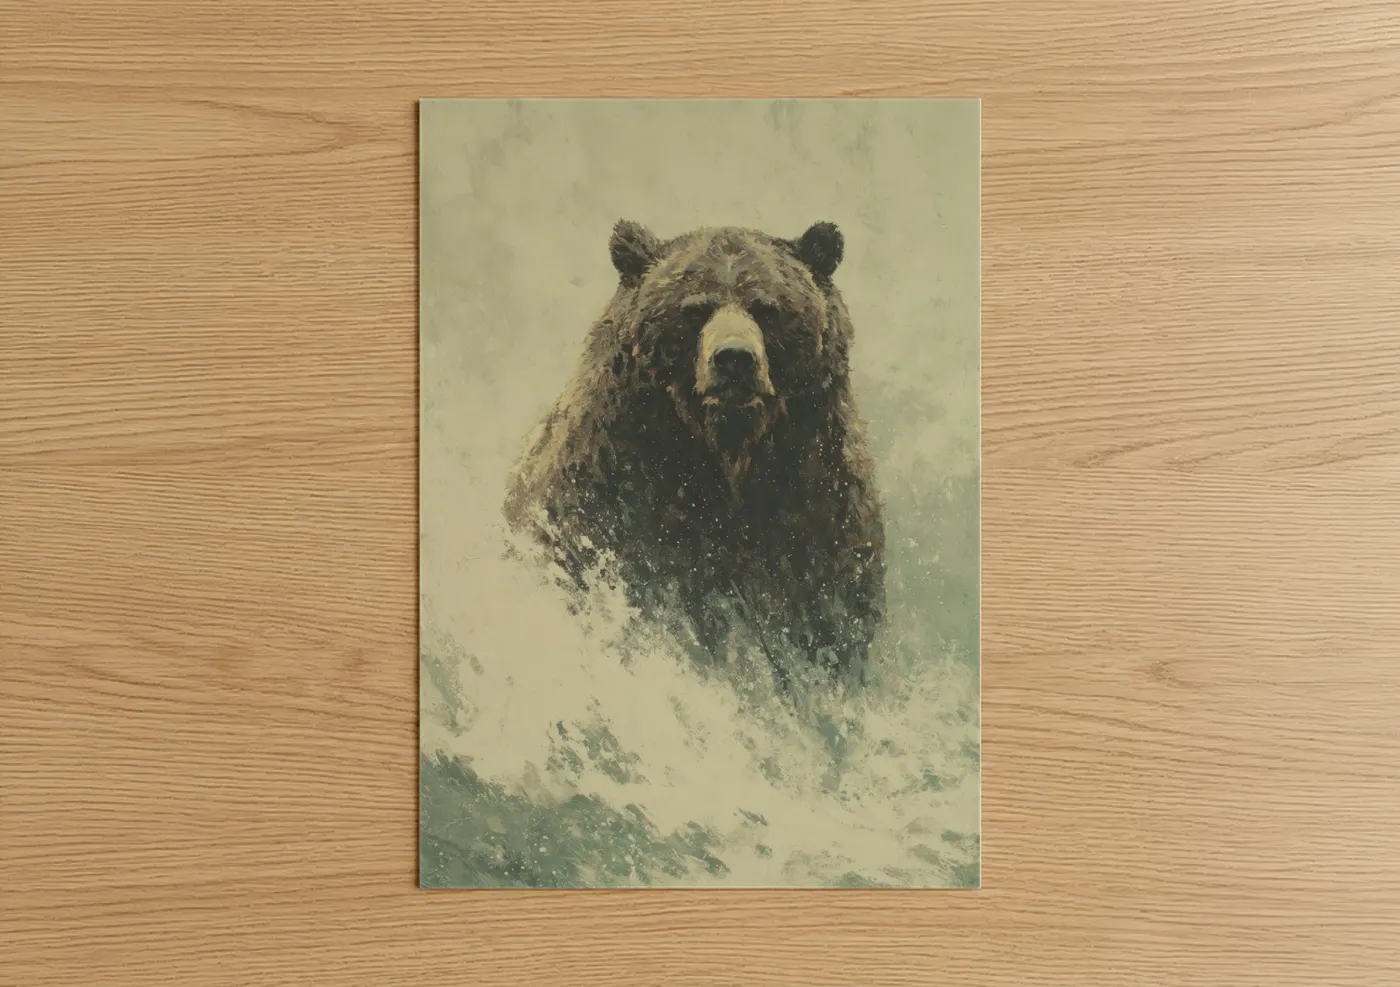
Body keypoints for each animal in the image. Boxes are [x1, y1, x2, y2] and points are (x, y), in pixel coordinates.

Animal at [503, 219, 886, 691]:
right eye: (694, 308)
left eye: (767, 308)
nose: (735, 359)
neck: (724, 455)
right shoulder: (610, 498)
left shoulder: (817, 508)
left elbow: (824, 618)